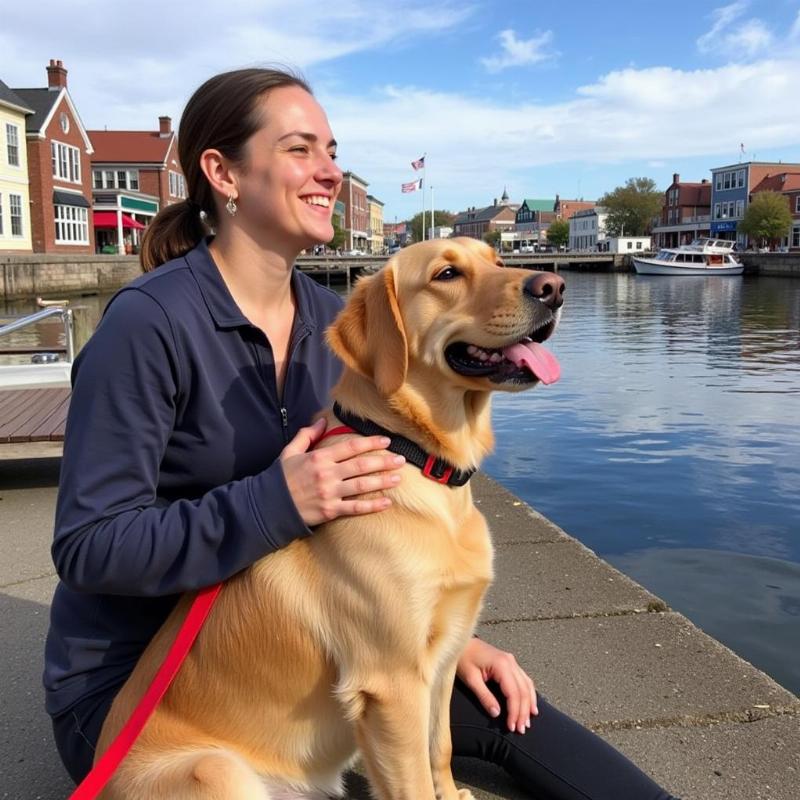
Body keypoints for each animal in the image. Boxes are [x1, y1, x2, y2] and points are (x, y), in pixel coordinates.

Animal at [95, 238, 564, 800]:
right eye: (447, 274)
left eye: (497, 259)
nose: (553, 286)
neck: (419, 459)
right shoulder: (392, 682)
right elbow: (415, 780)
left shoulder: (443, 660)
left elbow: (441, 749)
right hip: (219, 771)